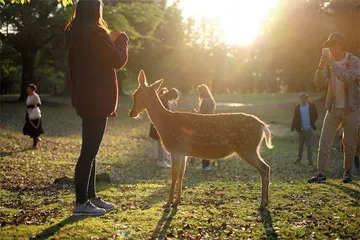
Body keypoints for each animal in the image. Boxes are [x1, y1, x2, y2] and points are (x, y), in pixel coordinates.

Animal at [129, 70, 272, 208]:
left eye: (135, 94)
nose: (131, 113)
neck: (164, 123)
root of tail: (262, 125)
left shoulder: (176, 149)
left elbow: (174, 177)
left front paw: (168, 203)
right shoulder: (183, 153)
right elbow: (181, 175)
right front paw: (177, 201)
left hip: (248, 147)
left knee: (264, 168)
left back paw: (262, 204)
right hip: (251, 148)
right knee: (266, 168)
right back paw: (264, 203)